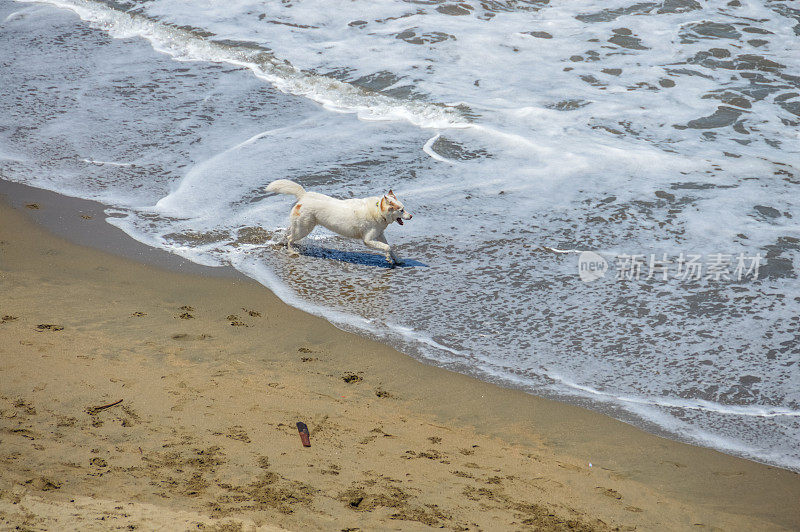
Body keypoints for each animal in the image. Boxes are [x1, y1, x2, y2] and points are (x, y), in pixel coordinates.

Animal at [268, 180, 412, 266]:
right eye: (401, 210)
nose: (411, 216)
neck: (378, 211)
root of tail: (304, 195)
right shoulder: (368, 240)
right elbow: (387, 247)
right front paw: (388, 259)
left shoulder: (380, 235)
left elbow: (390, 247)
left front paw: (398, 260)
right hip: (304, 229)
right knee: (290, 238)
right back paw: (292, 251)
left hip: (299, 226)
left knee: (287, 233)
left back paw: (281, 243)